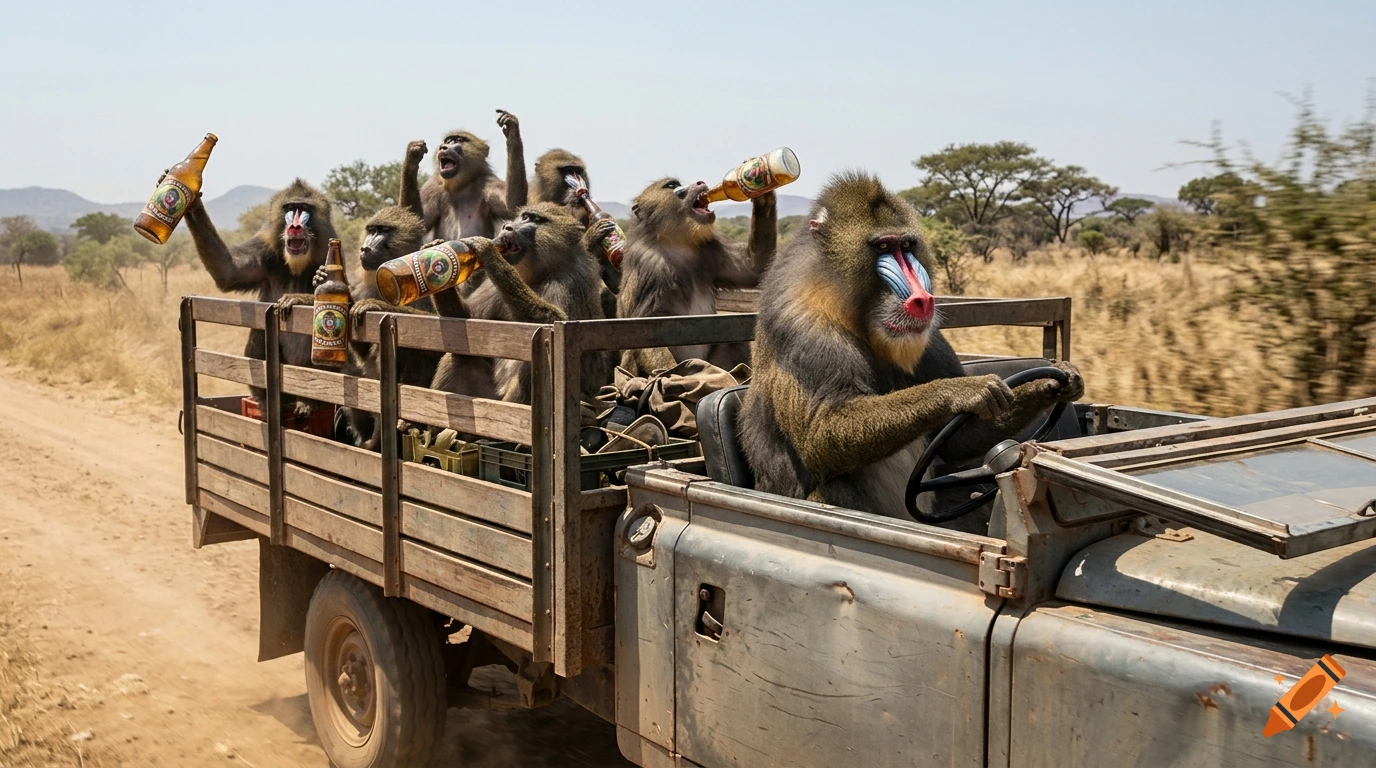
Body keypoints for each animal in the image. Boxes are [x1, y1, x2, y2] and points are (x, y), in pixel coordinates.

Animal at [184, 178, 336, 414]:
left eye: (305, 208)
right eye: (290, 208)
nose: (295, 226)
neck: (296, 265)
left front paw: (308, 289)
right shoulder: (264, 249)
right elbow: (229, 271)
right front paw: (191, 203)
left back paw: (307, 401)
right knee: (260, 330)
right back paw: (264, 399)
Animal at [616, 178, 777, 376]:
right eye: (671, 185)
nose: (700, 182)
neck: (675, 243)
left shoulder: (710, 248)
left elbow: (754, 268)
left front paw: (762, 194)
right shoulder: (649, 264)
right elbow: (645, 328)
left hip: (715, 362)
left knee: (733, 342)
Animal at [738, 172, 1084, 522]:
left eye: (906, 246)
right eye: (882, 246)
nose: (922, 300)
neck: (850, 310)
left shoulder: (929, 337)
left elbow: (956, 437)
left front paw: (1052, 381)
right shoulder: (806, 330)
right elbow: (822, 433)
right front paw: (961, 390)